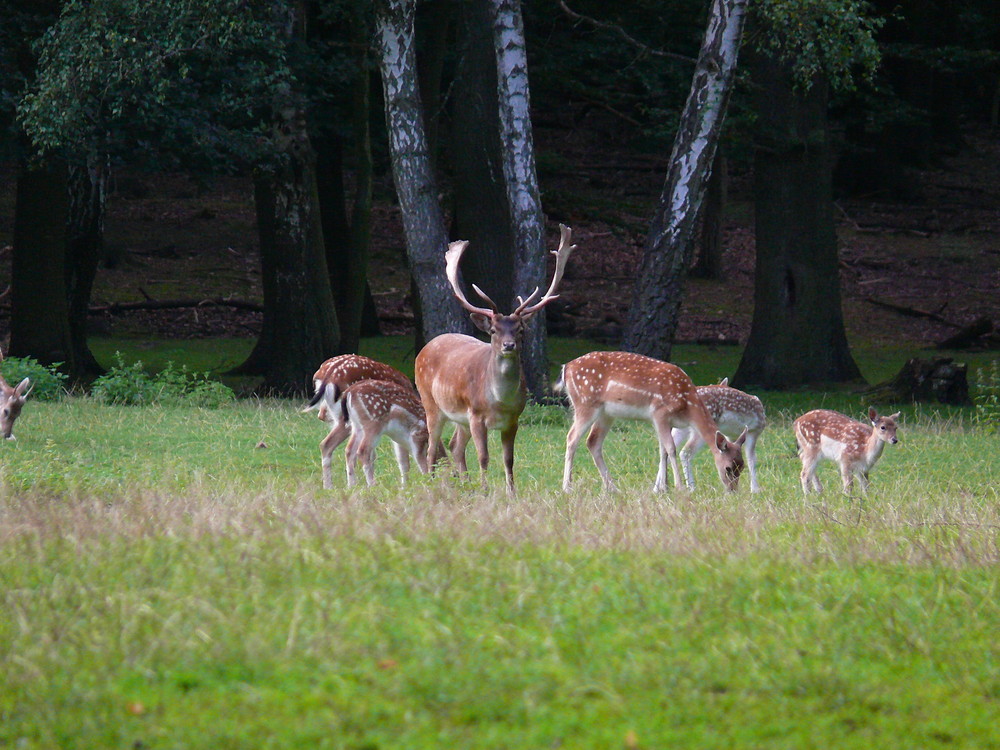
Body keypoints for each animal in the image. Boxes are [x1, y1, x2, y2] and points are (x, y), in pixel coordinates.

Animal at [412, 223, 572, 494]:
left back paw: (465, 484)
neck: (499, 401)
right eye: (494, 330)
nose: (508, 345)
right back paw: (433, 484)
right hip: (431, 402)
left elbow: (509, 458)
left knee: (455, 445)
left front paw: (511, 492)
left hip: (460, 417)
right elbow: (484, 456)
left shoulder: (513, 419)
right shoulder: (476, 415)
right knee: (433, 447)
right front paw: (486, 490)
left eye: (520, 329)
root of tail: (425, 348)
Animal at [560, 352, 748, 494]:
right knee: (571, 438)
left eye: (742, 467)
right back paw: (567, 488)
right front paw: (679, 487)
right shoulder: (660, 412)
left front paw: (664, 488)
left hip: (606, 413)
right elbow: (671, 449)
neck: (687, 405)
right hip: (586, 403)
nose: (733, 491)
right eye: (728, 468)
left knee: (592, 441)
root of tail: (566, 368)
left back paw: (613, 488)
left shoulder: (666, 421)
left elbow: (662, 451)